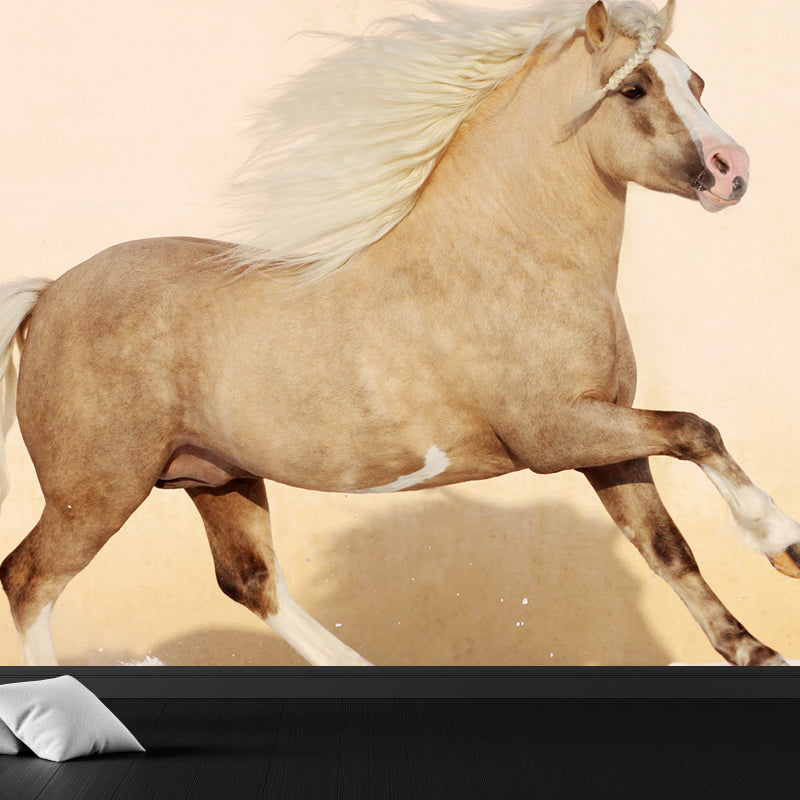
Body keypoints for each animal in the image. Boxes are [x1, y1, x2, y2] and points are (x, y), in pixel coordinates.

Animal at [1, 0, 798, 668]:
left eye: (698, 82)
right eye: (633, 89)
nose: (734, 172)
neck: (512, 255)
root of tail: (51, 293)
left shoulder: (606, 440)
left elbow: (668, 546)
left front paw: (759, 648)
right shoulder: (558, 435)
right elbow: (696, 429)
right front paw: (780, 540)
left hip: (216, 476)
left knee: (251, 580)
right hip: (96, 492)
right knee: (30, 579)